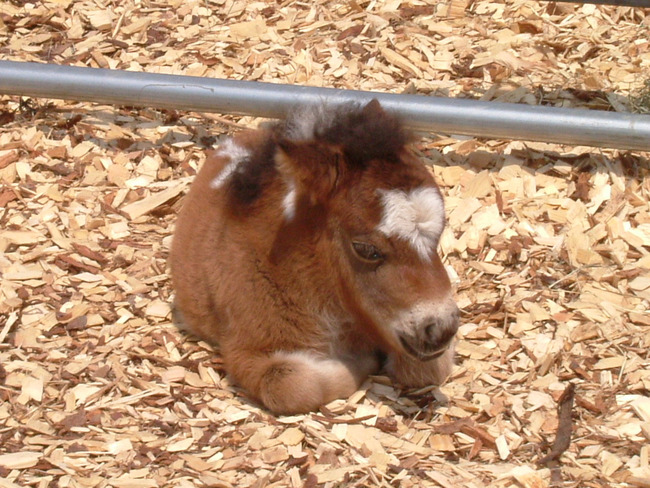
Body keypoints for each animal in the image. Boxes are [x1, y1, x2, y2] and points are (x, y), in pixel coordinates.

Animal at [170, 101, 458, 414]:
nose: (441, 330)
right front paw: (359, 361)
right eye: (365, 249)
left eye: (440, 232)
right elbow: (291, 386)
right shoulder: (245, 351)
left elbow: (428, 369)